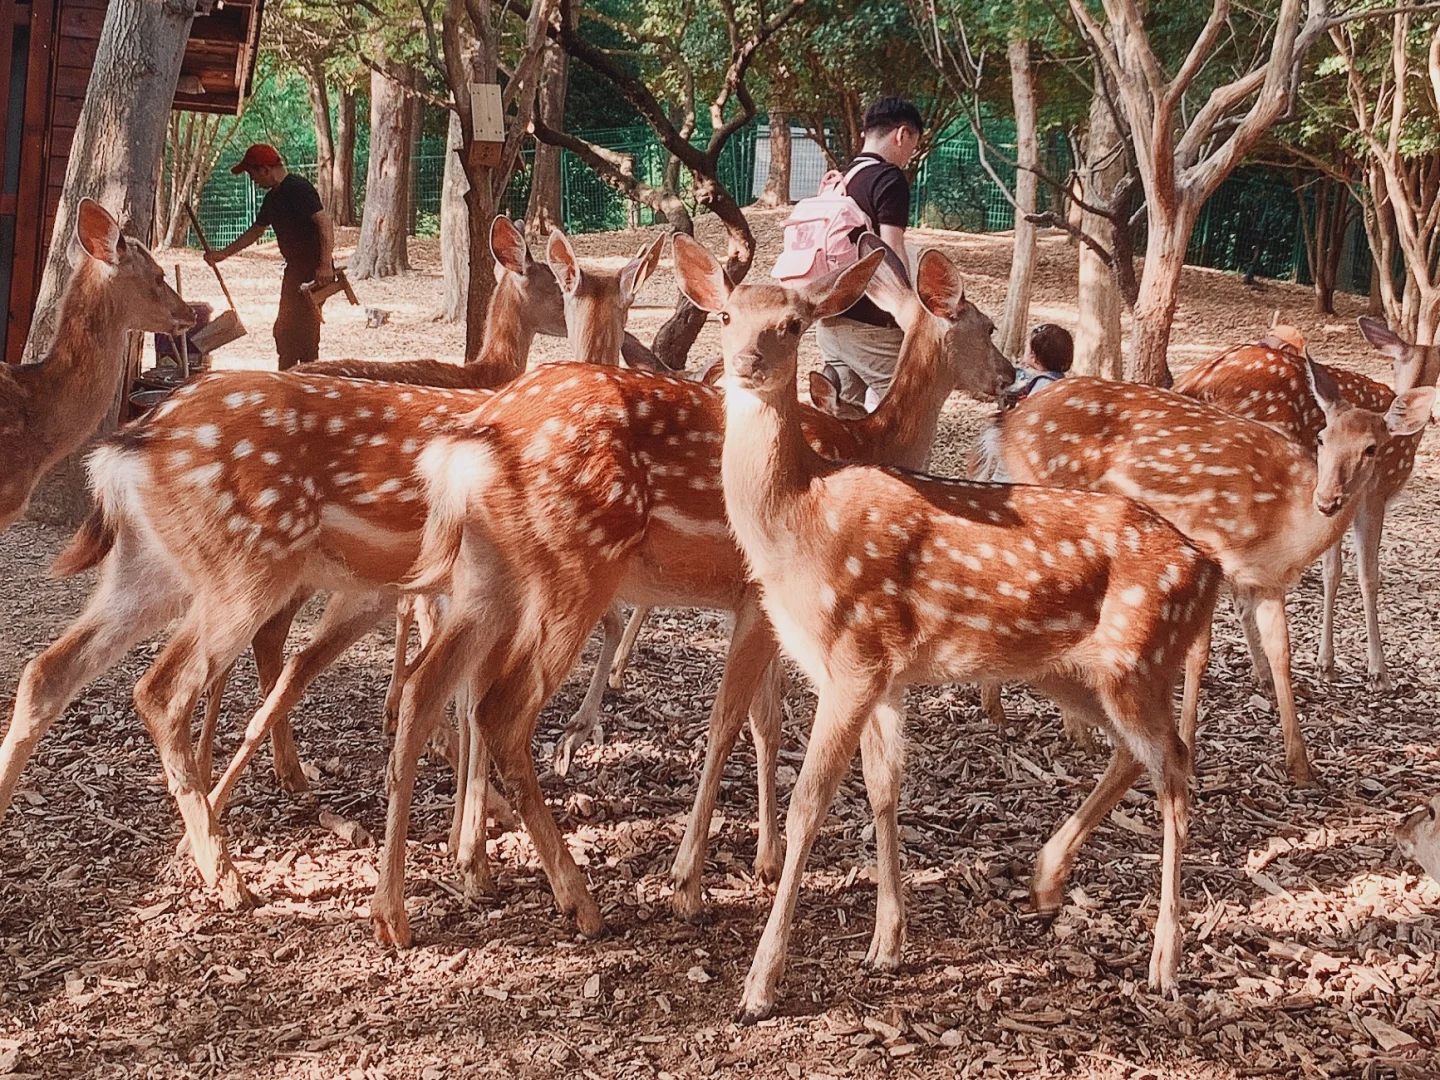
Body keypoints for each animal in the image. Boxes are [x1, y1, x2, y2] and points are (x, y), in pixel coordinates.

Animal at [362, 240, 1013, 950]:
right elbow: (728, 722)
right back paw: (576, 899)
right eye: (986, 326)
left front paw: (765, 858)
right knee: (499, 709)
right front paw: (689, 883)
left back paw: (402, 907)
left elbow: (765, 722)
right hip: (573, 566)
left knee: (429, 686)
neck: (864, 443)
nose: (1009, 375)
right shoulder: (758, 599)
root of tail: (468, 442)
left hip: (490, 571)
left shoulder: (769, 612)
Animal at [668, 233, 1221, 1019]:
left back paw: (1164, 961)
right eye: (724, 316)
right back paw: (1046, 879)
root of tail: (1209, 569)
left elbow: (814, 802)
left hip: (1138, 658)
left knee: (1175, 766)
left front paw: (761, 983)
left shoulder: (858, 657)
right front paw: (886, 942)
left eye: (794, 324)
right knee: (1137, 755)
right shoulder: (878, 671)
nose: (744, 362)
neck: (800, 520)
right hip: (1075, 671)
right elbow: (882, 785)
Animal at [996, 371, 1434, 789]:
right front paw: (1189, 755)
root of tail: (1008, 425)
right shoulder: (1211, 548)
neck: (1282, 526)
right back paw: (1077, 732)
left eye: (1372, 448)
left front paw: (1301, 766)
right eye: (1322, 438)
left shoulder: (1267, 581)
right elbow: (1199, 654)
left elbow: (1281, 652)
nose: (1327, 500)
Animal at [1175, 316, 1440, 696]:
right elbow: (1367, 575)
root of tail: (1192, 384)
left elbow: (1333, 570)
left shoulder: (1337, 495)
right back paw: (1261, 672)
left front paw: (1325, 663)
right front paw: (1378, 671)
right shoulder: (1374, 494)